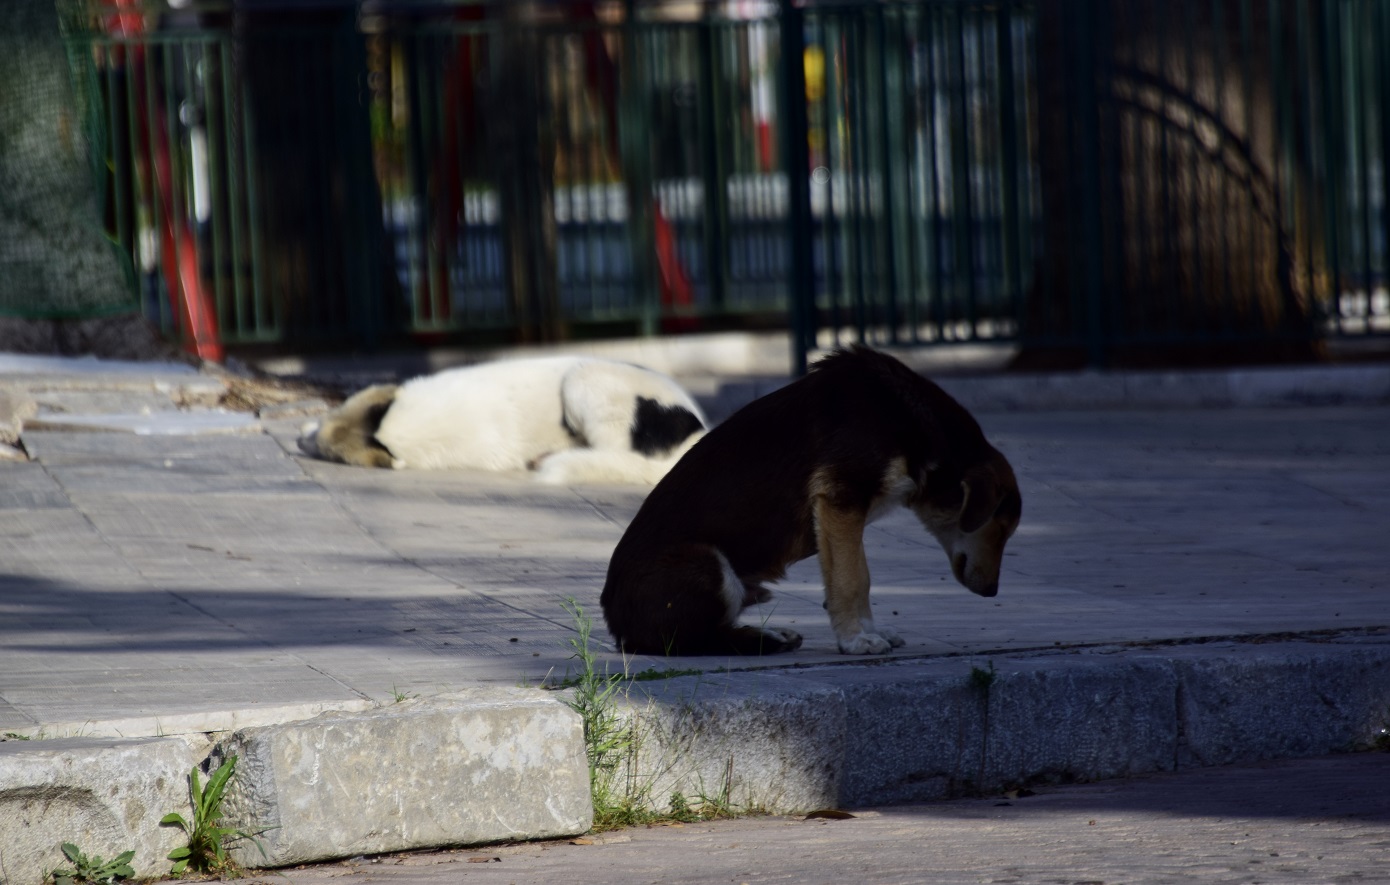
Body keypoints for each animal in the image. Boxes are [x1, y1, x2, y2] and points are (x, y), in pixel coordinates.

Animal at [600, 347, 1023, 655]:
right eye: (1001, 529)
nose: (992, 592)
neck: (908, 419)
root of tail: (615, 619)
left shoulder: (841, 518)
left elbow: (852, 577)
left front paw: (869, 631)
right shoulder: (841, 502)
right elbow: (854, 579)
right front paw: (855, 640)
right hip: (709, 565)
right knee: (695, 641)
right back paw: (767, 641)